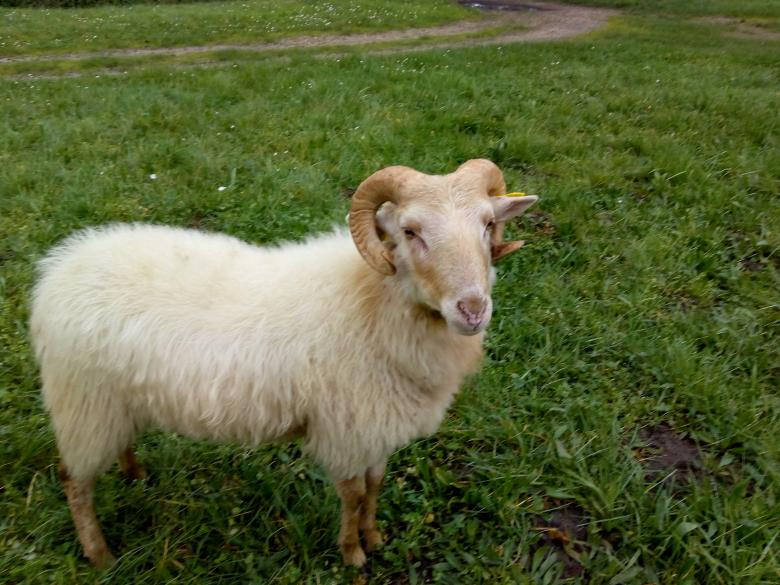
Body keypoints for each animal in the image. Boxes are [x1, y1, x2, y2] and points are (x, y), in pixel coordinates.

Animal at [29, 159, 538, 569]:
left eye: (487, 224)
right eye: (411, 232)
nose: (472, 309)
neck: (372, 300)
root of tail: (60, 268)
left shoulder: (376, 420)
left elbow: (376, 485)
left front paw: (374, 537)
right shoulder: (346, 426)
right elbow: (354, 494)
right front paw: (352, 553)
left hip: (115, 401)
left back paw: (135, 476)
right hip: (84, 404)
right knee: (74, 482)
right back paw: (99, 555)